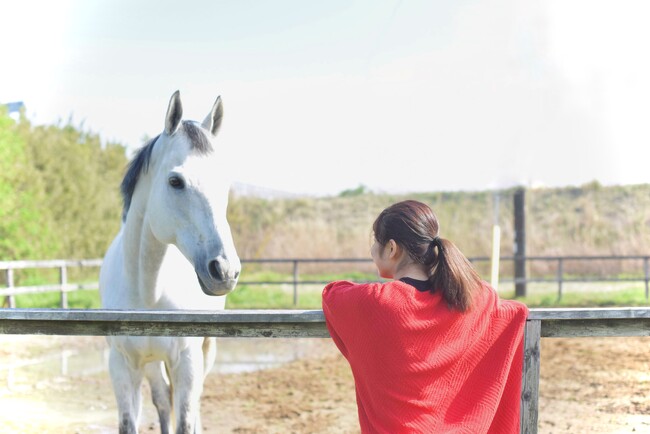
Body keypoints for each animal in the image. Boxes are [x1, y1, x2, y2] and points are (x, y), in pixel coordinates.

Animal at [99, 91, 241, 434]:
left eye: (225, 183)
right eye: (175, 181)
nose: (225, 270)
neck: (147, 293)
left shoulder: (187, 362)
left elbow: (186, 420)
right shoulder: (121, 366)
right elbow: (132, 421)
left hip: (205, 352)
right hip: (151, 364)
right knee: (163, 399)